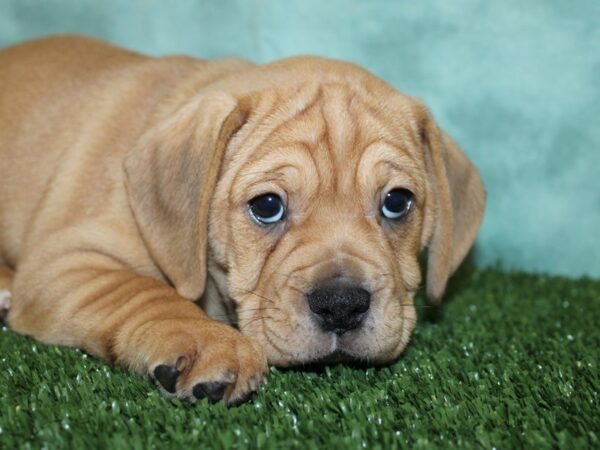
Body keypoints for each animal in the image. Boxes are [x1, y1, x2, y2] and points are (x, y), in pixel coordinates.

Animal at [0, 37, 486, 406]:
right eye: (267, 206)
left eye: (397, 202)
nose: (341, 305)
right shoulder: (64, 261)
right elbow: (142, 292)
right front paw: (206, 342)